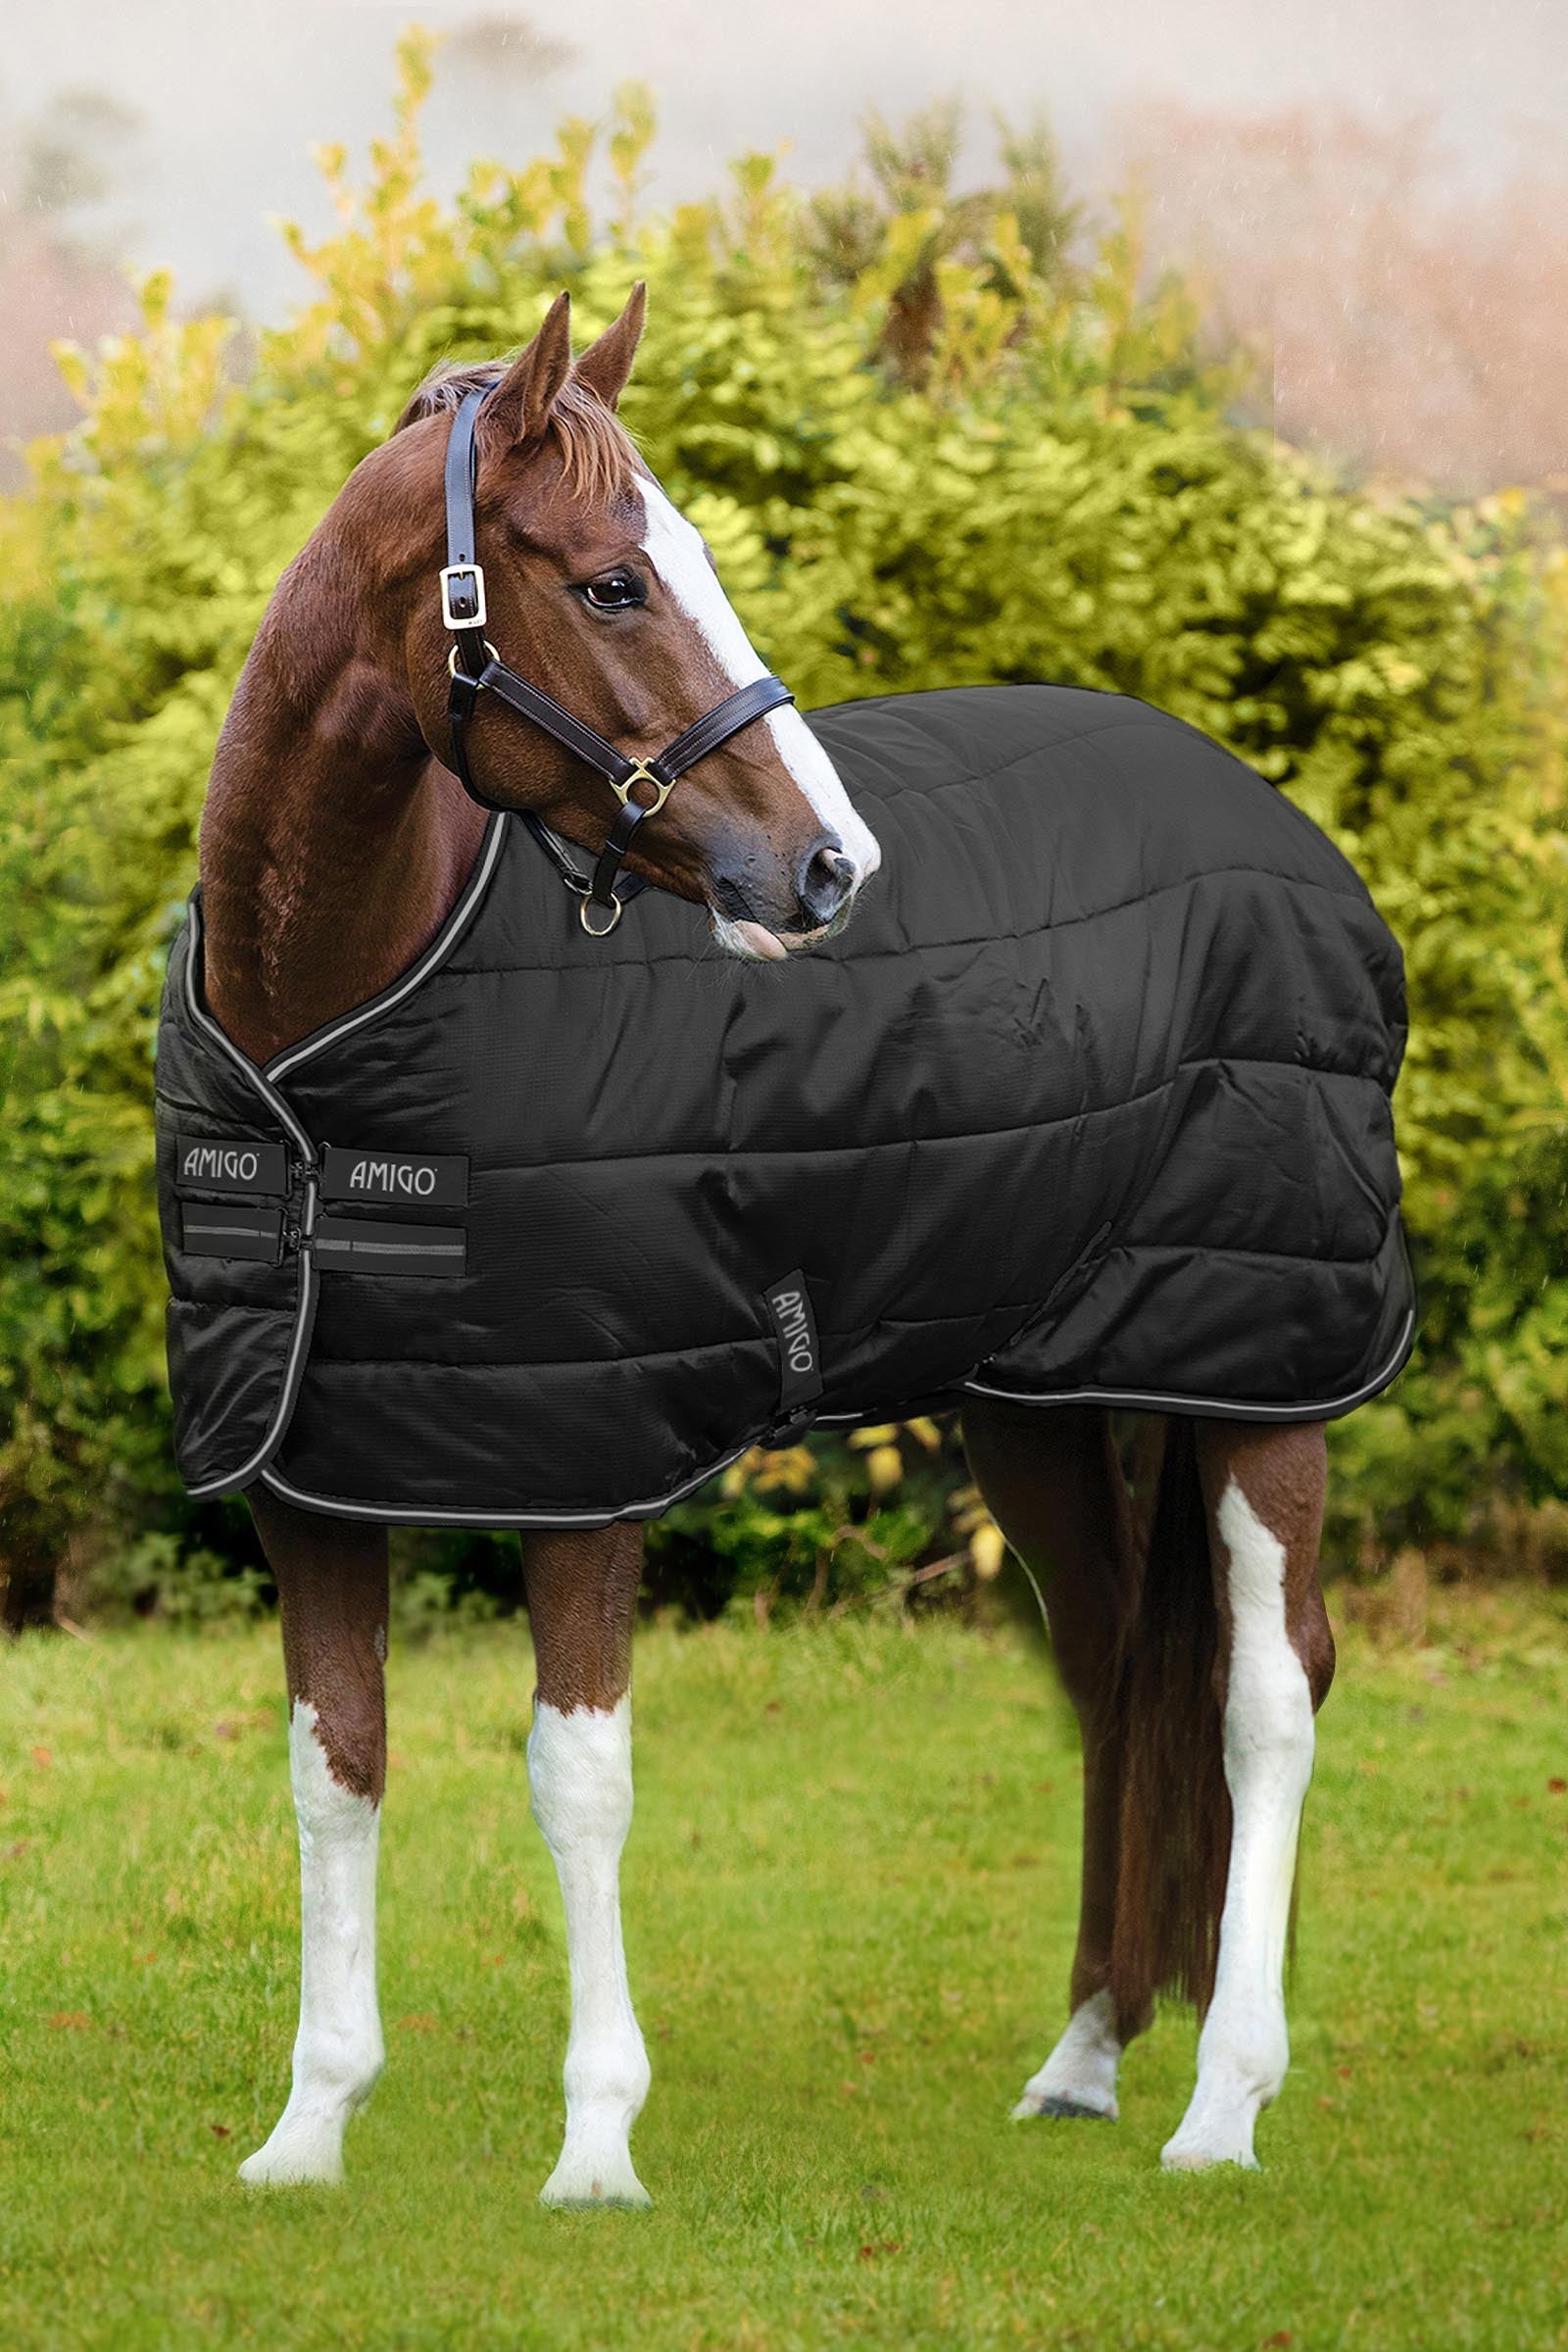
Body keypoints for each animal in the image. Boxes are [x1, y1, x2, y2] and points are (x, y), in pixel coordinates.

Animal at [180, 283, 1364, 2200]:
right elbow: (334, 1766)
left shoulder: (583, 1465)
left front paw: (597, 2150)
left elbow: (577, 1778)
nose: (828, 869)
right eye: (610, 583)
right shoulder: (311, 1474)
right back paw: (1088, 2056)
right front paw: (308, 2128)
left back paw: (1223, 2104)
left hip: (1268, 1373)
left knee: (1267, 1689)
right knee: (1121, 1665)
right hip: (1035, 1399)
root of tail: (1275, 826)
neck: (325, 1056)